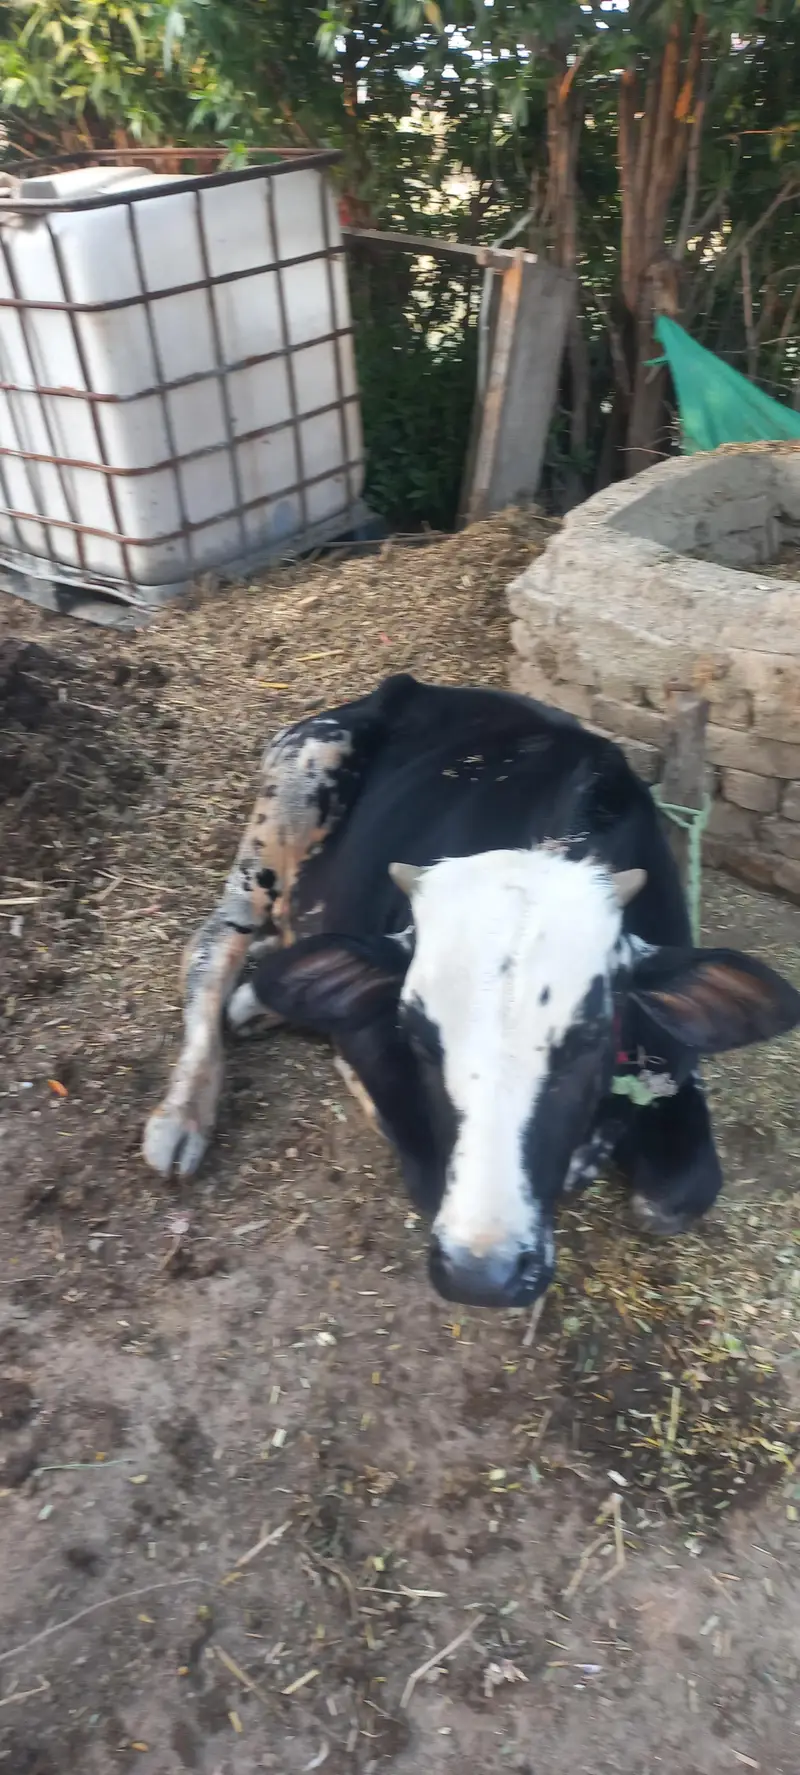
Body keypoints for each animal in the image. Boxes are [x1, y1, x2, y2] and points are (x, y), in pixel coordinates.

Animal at [143, 674, 800, 1309]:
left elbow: (679, 1193)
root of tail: (401, 688)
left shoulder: (674, 1058)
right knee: (211, 948)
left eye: (590, 1037)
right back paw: (181, 1117)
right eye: (416, 1037)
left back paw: (256, 1005)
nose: (484, 1275)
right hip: (291, 793)